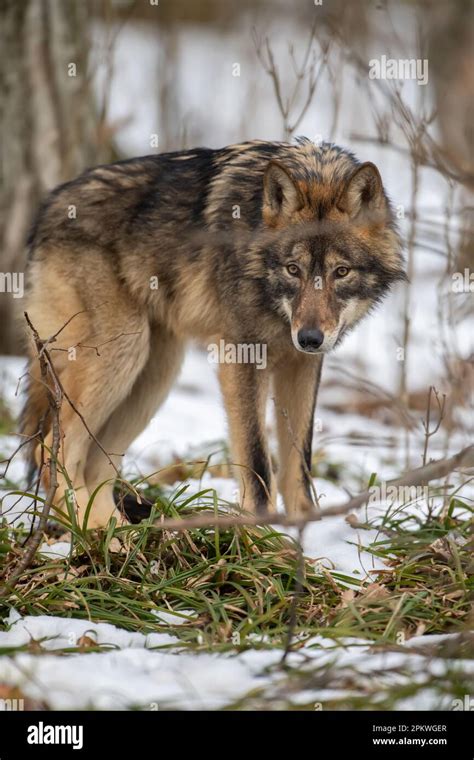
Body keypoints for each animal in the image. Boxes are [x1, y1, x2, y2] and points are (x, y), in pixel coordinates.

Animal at [22, 138, 405, 528]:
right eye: (292, 269)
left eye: (341, 271)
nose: (309, 339)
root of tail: (49, 207)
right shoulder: (242, 356)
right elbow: (257, 462)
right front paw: (265, 536)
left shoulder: (303, 365)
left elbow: (299, 467)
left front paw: (307, 533)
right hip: (124, 352)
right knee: (52, 453)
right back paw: (101, 533)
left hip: (154, 375)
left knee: (96, 467)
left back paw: (120, 533)